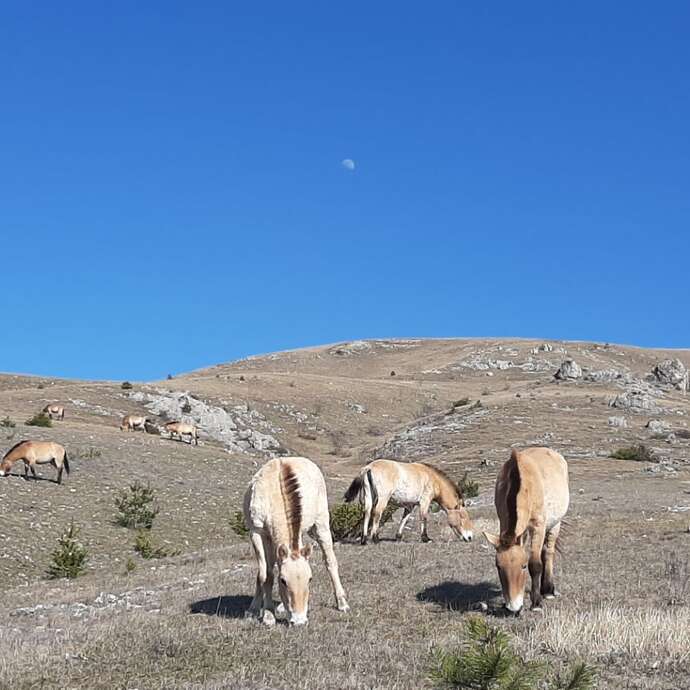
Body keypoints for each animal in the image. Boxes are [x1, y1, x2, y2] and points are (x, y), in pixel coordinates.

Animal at [243, 456, 349, 626]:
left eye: (310, 579)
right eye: (283, 581)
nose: (299, 621)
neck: (274, 495)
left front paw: (269, 612)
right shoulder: (257, 533)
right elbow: (265, 574)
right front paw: (265, 613)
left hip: (321, 525)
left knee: (330, 561)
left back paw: (342, 603)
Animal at [344, 459, 474, 545]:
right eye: (462, 517)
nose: (470, 537)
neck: (432, 478)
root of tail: (368, 468)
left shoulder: (409, 506)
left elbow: (404, 519)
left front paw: (398, 537)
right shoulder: (424, 501)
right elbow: (423, 517)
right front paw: (426, 538)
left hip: (368, 498)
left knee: (366, 513)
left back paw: (364, 539)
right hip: (383, 499)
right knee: (376, 513)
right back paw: (375, 538)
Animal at [483, 447, 569, 614]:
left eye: (523, 566)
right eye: (499, 566)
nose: (513, 607)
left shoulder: (538, 525)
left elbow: (535, 564)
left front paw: (536, 603)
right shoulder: (503, 521)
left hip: (555, 524)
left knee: (548, 552)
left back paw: (548, 590)